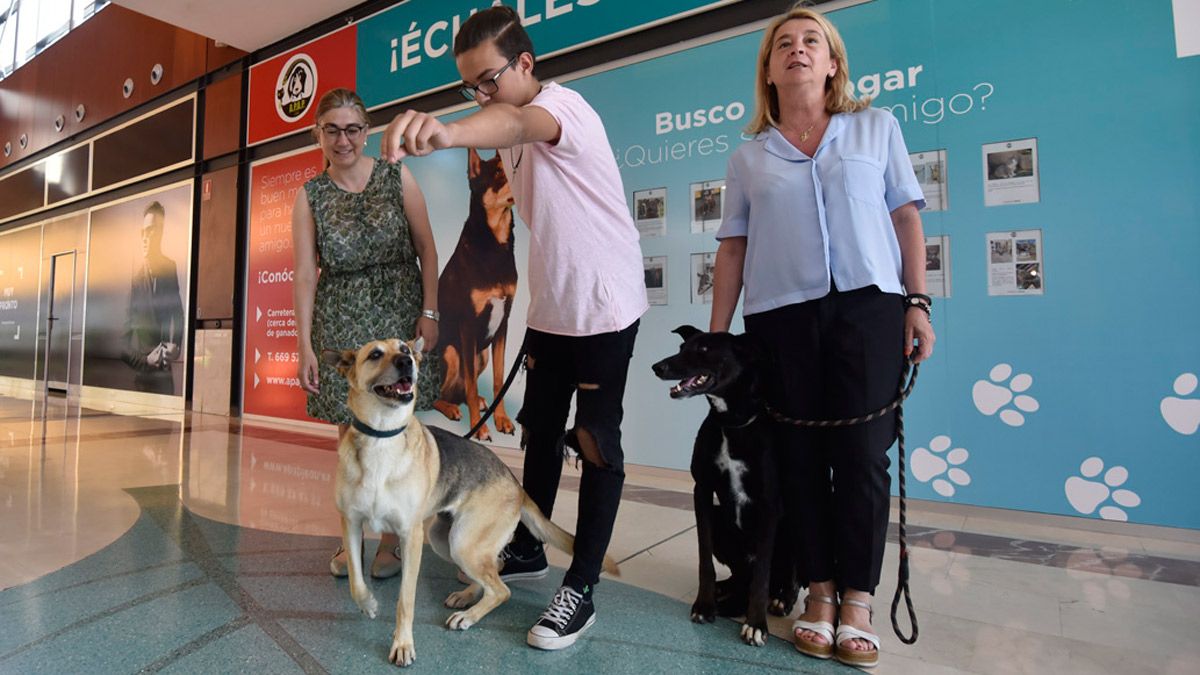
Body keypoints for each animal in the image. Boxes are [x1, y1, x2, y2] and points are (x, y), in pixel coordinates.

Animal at [326, 338, 619, 662]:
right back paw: (467, 598)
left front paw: (402, 643)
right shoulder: (351, 524)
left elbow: (405, 600)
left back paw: (469, 615)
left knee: (501, 589)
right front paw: (368, 603)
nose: (407, 362)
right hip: (447, 540)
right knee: (495, 573)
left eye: (404, 348)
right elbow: (355, 579)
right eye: (375, 354)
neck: (382, 436)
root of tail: (516, 485)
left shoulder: (410, 537)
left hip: (462, 543)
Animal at [652, 326, 792, 648]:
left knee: (779, 575)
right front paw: (704, 605)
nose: (658, 367)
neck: (732, 422)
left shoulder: (770, 504)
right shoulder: (702, 491)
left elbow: (762, 576)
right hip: (719, 521)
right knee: (741, 576)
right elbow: (704, 559)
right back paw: (724, 587)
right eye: (682, 347)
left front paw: (756, 624)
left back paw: (782, 597)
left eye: (704, 349)